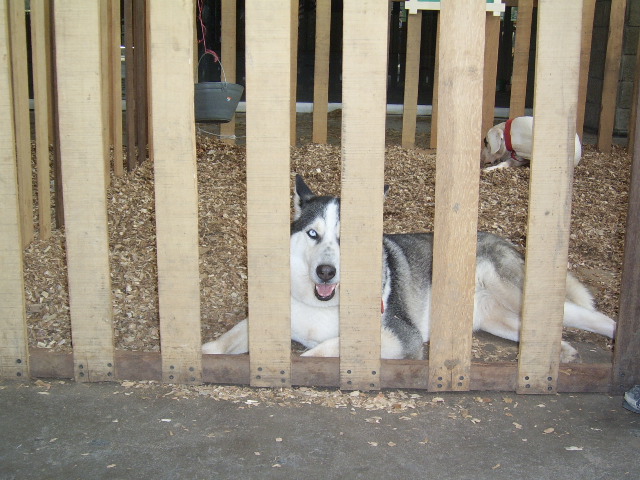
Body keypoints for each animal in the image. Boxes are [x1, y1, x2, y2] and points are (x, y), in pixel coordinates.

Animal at [204, 175, 616, 360]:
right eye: (313, 233)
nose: (326, 273)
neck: (320, 305)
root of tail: (503, 239)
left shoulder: (403, 337)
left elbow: (318, 352)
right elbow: (230, 336)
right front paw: (206, 351)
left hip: (515, 291)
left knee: (593, 318)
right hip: (496, 319)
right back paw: (560, 350)